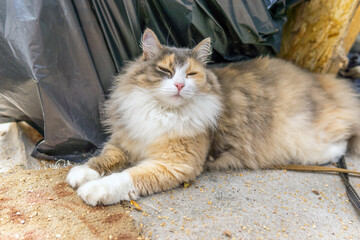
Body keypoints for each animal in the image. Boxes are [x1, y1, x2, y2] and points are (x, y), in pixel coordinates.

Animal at [66, 28, 360, 206]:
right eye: (165, 71)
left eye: (191, 74)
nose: (179, 85)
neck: (163, 112)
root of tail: (318, 80)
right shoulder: (123, 142)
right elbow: (103, 159)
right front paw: (81, 173)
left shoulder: (174, 164)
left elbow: (125, 177)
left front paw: (95, 190)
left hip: (303, 141)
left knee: (342, 140)